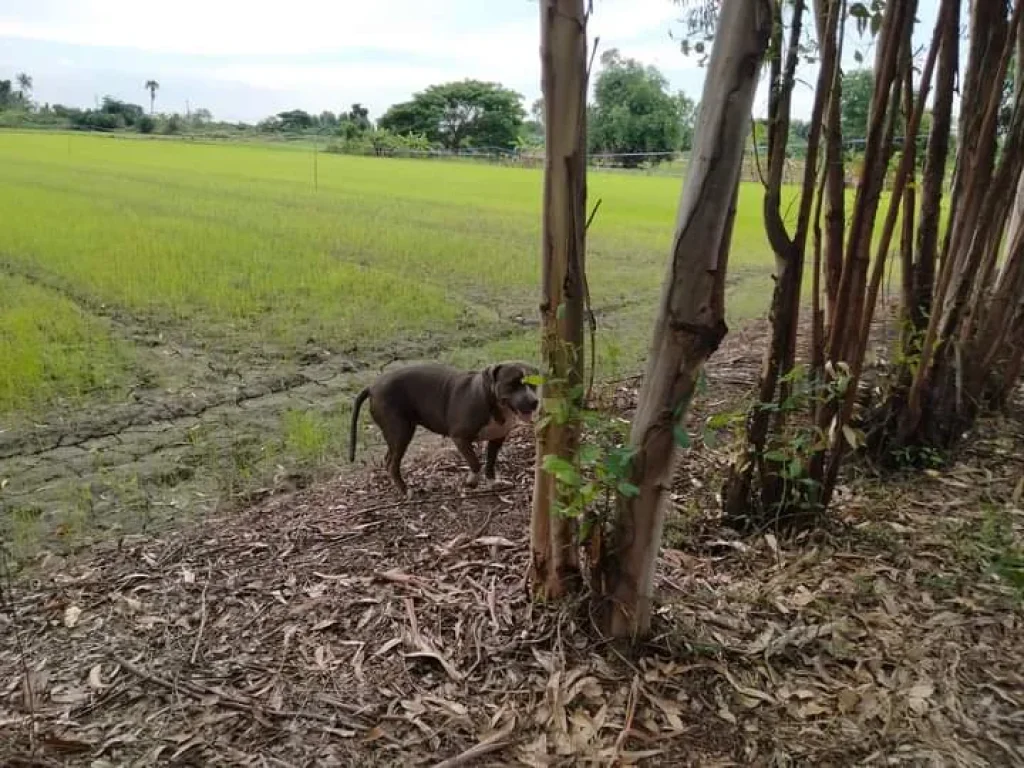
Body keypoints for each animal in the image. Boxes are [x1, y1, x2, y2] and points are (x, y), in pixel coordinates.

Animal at [348, 362, 540, 499]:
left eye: (534, 385)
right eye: (512, 384)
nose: (534, 401)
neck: (492, 401)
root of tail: (373, 386)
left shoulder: (497, 438)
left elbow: (490, 463)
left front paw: (493, 483)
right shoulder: (460, 437)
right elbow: (475, 462)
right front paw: (471, 482)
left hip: (396, 434)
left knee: (389, 458)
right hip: (401, 431)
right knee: (392, 464)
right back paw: (406, 491)